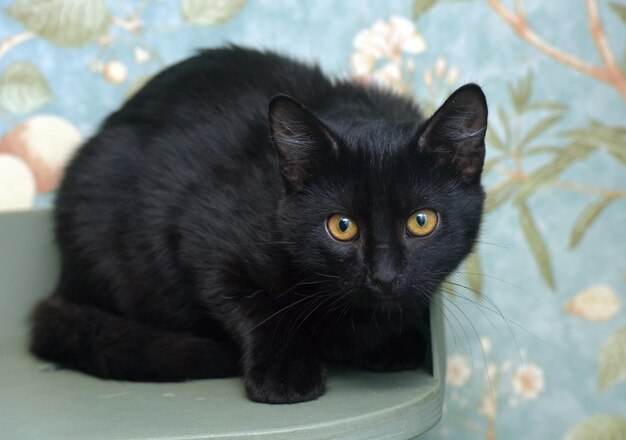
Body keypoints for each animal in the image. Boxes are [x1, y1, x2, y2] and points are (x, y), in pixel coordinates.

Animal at [30, 46, 488, 404]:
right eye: (341, 226)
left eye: (421, 221)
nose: (385, 276)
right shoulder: (198, 239)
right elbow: (253, 306)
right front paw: (284, 375)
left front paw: (392, 341)